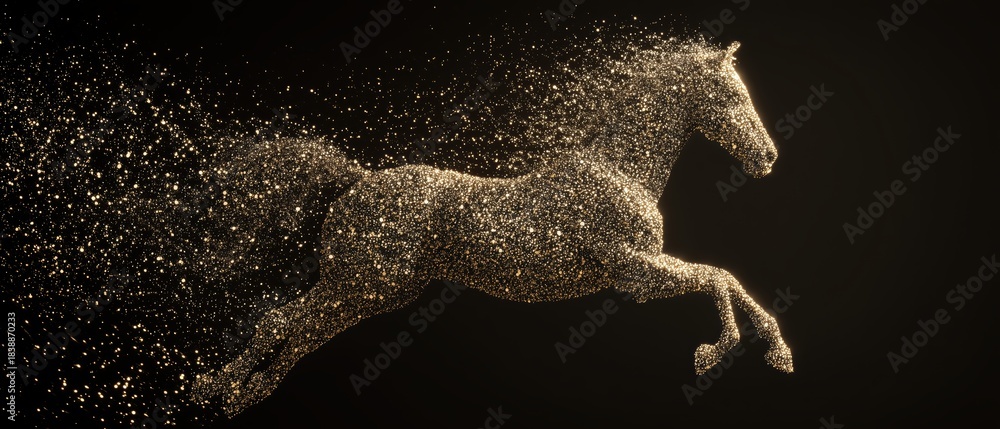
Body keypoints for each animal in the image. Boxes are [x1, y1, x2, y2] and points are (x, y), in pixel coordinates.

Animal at [190, 40, 793, 416]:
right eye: (731, 95)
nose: (768, 157)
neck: (621, 169)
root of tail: (357, 181)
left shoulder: (640, 270)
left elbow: (728, 278)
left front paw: (779, 353)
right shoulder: (633, 270)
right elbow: (716, 277)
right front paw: (714, 352)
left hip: (370, 293)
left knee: (300, 331)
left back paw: (244, 392)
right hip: (357, 283)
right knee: (280, 321)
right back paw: (216, 387)